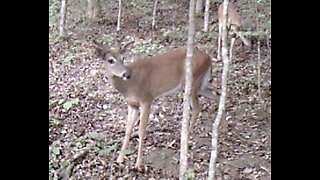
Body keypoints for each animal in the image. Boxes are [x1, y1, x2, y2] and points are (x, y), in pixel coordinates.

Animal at [92, 39, 218, 172]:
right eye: (110, 60)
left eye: (123, 58)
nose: (126, 74)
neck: (128, 86)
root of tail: (208, 58)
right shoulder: (132, 105)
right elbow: (128, 130)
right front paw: (120, 159)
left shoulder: (146, 99)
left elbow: (141, 131)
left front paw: (138, 164)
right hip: (201, 85)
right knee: (216, 94)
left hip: (193, 82)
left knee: (198, 108)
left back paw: (185, 138)